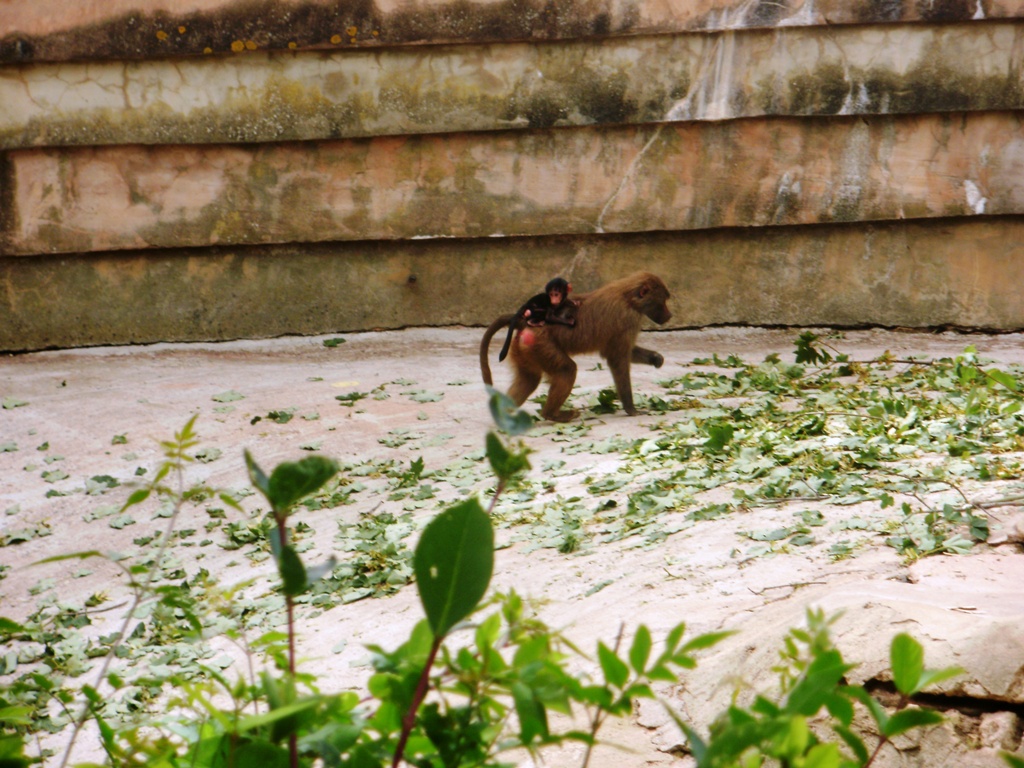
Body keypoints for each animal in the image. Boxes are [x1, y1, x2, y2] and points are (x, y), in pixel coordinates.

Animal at [480, 271, 671, 422]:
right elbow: (617, 359)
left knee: (529, 379)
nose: (669, 315)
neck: (628, 297)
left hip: (526, 349)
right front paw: (631, 409)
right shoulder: (628, 319)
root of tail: (524, 322)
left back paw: (504, 416)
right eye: (662, 300)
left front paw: (656, 358)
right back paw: (552, 414)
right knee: (567, 370)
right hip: (542, 346)